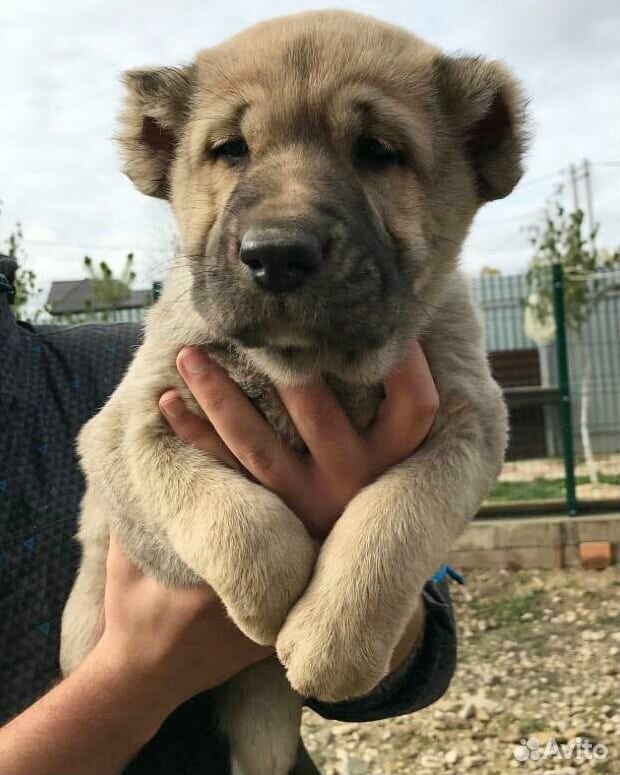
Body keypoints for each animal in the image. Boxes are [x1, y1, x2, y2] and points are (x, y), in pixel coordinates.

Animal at [59, 12, 524, 775]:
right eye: (230, 150)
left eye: (376, 151)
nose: (276, 254)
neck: (310, 370)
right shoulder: (130, 423)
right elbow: (222, 510)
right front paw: (276, 587)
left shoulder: (470, 422)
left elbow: (397, 519)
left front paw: (332, 642)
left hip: (265, 726)